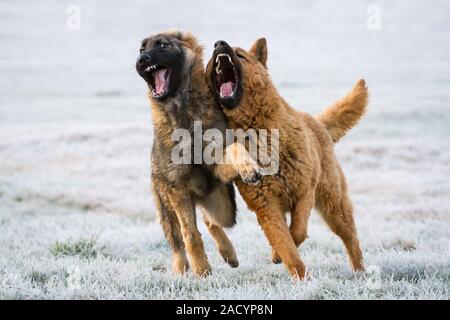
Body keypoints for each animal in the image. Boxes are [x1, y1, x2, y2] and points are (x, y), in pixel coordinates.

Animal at [134, 31, 260, 278]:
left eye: (162, 45)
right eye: (141, 49)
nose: (142, 60)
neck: (183, 112)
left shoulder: (217, 165)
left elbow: (235, 148)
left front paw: (249, 168)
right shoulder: (177, 190)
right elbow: (190, 235)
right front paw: (201, 269)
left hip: (224, 206)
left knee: (211, 220)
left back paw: (228, 253)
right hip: (167, 209)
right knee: (178, 241)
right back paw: (181, 269)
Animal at [207, 37, 370, 278]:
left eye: (240, 54)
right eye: (210, 59)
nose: (219, 43)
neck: (257, 129)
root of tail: (316, 122)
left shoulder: (305, 193)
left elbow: (298, 232)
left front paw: (281, 256)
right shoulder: (267, 208)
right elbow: (287, 246)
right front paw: (300, 277)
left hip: (334, 206)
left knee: (351, 239)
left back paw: (360, 270)